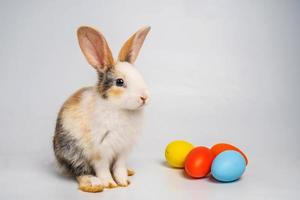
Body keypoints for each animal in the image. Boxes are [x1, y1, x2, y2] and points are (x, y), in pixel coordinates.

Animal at [53, 25, 151, 193]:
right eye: (119, 82)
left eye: (140, 76)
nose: (144, 97)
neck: (118, 107)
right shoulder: (101, 150)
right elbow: (103, 168)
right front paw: (110, 184)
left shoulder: (122, 151)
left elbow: (118, 167)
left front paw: (123, 182)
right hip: (73, 151)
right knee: (80, 172)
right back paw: (94, 184)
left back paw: (129, 172)